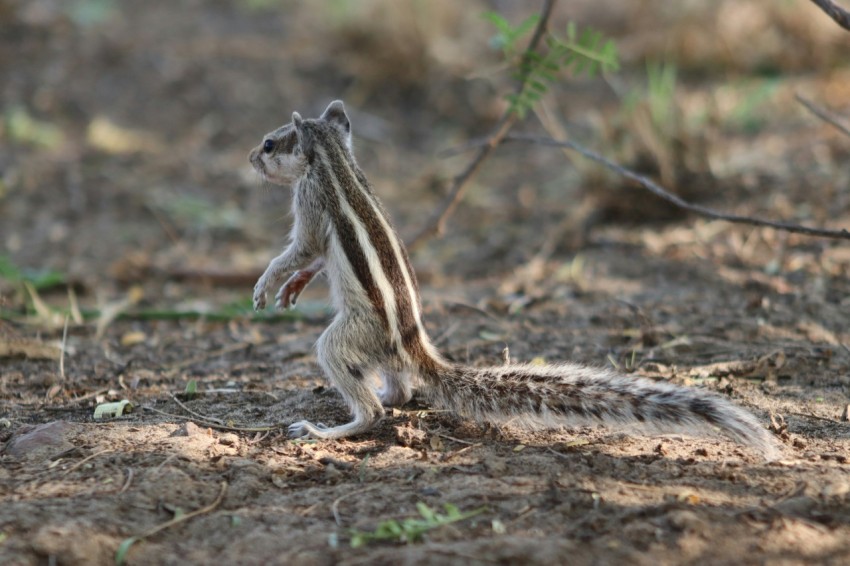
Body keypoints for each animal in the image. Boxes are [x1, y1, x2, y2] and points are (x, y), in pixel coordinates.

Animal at [248, 98, 780, 462]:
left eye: (271, 143)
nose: (251, 159)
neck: (333, 157)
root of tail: (414, 345)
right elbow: (313, 259)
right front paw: (293, 285)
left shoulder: (309, 201)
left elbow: (302, 249)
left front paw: (267, 282)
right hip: (380, 352)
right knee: (399, 392)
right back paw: (381, 395)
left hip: (346, 338)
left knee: (371, 406)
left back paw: (328, 430)